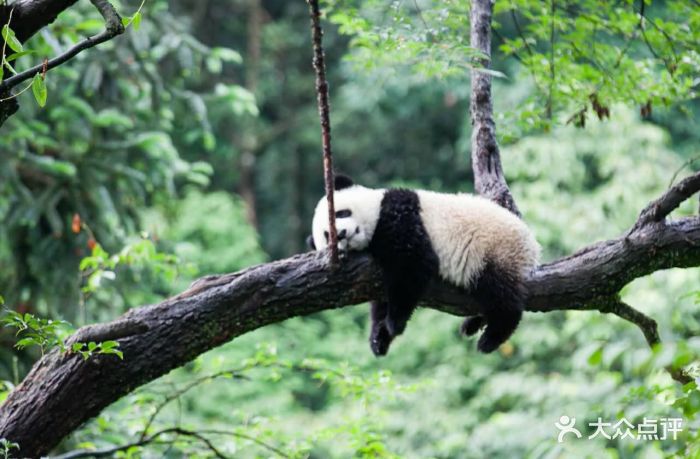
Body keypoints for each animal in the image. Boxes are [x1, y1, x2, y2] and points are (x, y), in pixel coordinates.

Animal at [308, 174, 540, 358]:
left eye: (340, 213)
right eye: (327, 236)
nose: (342, 233)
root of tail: (532, 249)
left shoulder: (400, 217)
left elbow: (413, 265)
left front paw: (395, 323)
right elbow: (382, 296)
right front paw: (379, 338)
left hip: (493, 250)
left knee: (500, 294)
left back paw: (491, 337)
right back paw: (473, 325)